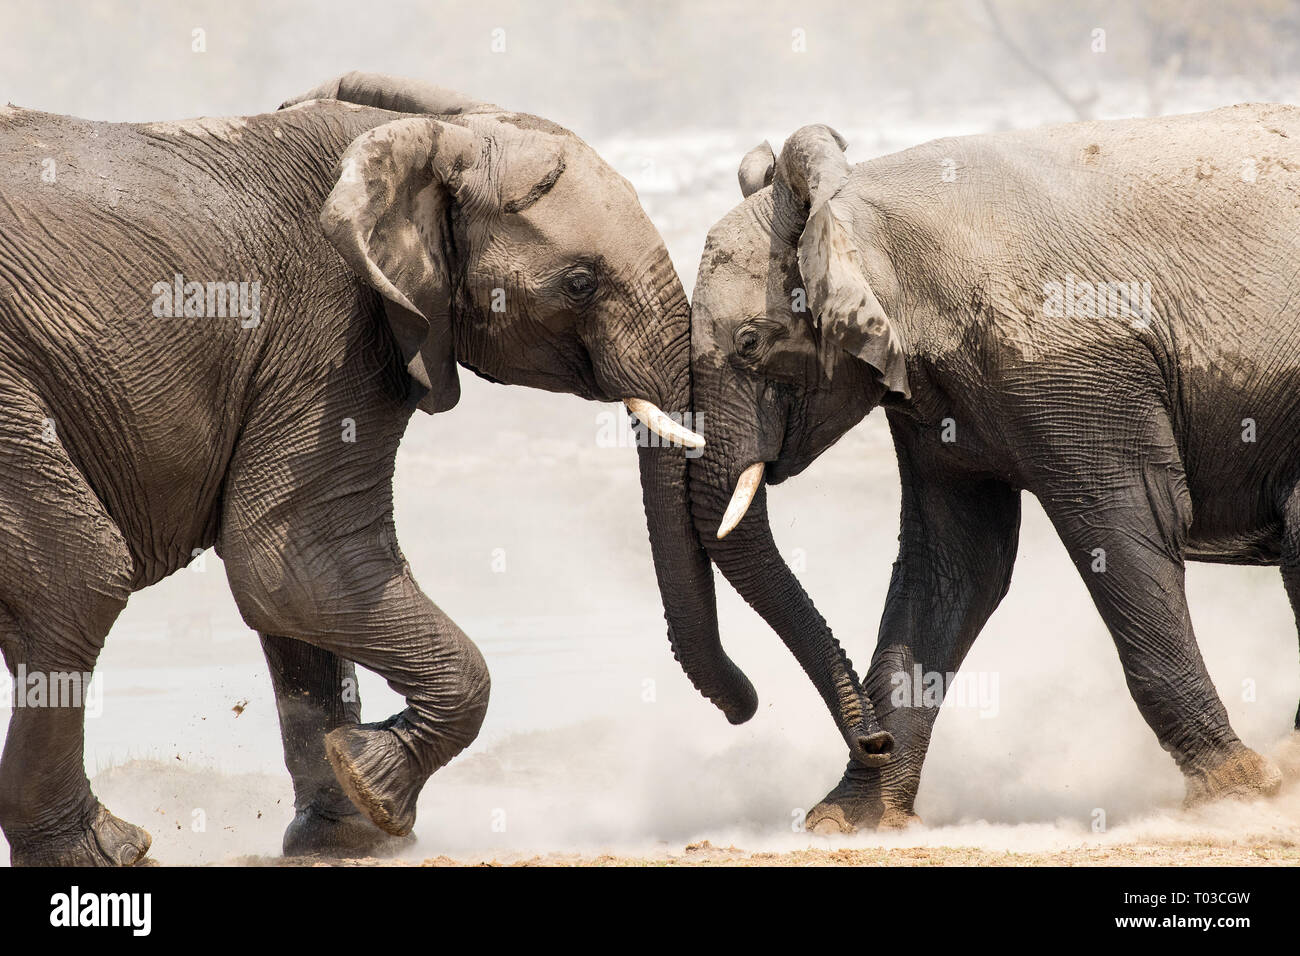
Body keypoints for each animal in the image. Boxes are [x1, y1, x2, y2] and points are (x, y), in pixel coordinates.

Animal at [0, 72, 719, 865]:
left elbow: (295, 593)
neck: (416, 139)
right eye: (582, 283)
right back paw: (109, 850)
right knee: (81, 577)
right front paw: (376, 786)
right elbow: (294, 564)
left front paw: (349, 835)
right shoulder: (331, 328)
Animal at [666, 104, 1300, 832]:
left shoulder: (1077, 369)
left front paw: (1244, 789)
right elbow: (955, 566)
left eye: (749, 343)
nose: (872, 741)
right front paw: (850, 821)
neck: (862, 194)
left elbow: (1126, 534)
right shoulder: (935, 398)